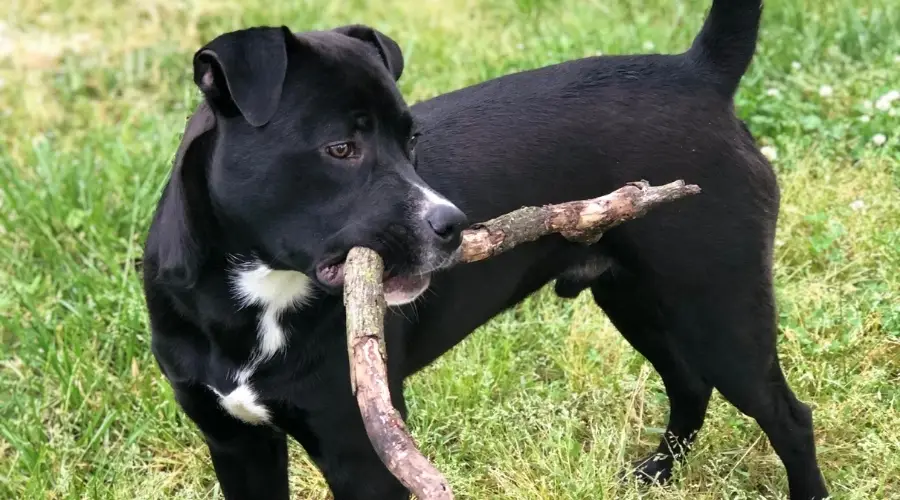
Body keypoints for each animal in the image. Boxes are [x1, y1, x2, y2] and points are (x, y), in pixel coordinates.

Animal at [142, 1, 828, 498]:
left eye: (411, 139)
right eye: (340, 148)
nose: (452, 225)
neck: (255, 296)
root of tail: (700, 73)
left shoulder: (362, 451)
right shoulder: (235, 445)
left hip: (719, 307)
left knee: (788, 416)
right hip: (637, 299)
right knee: (689, 385)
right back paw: (656, 474)